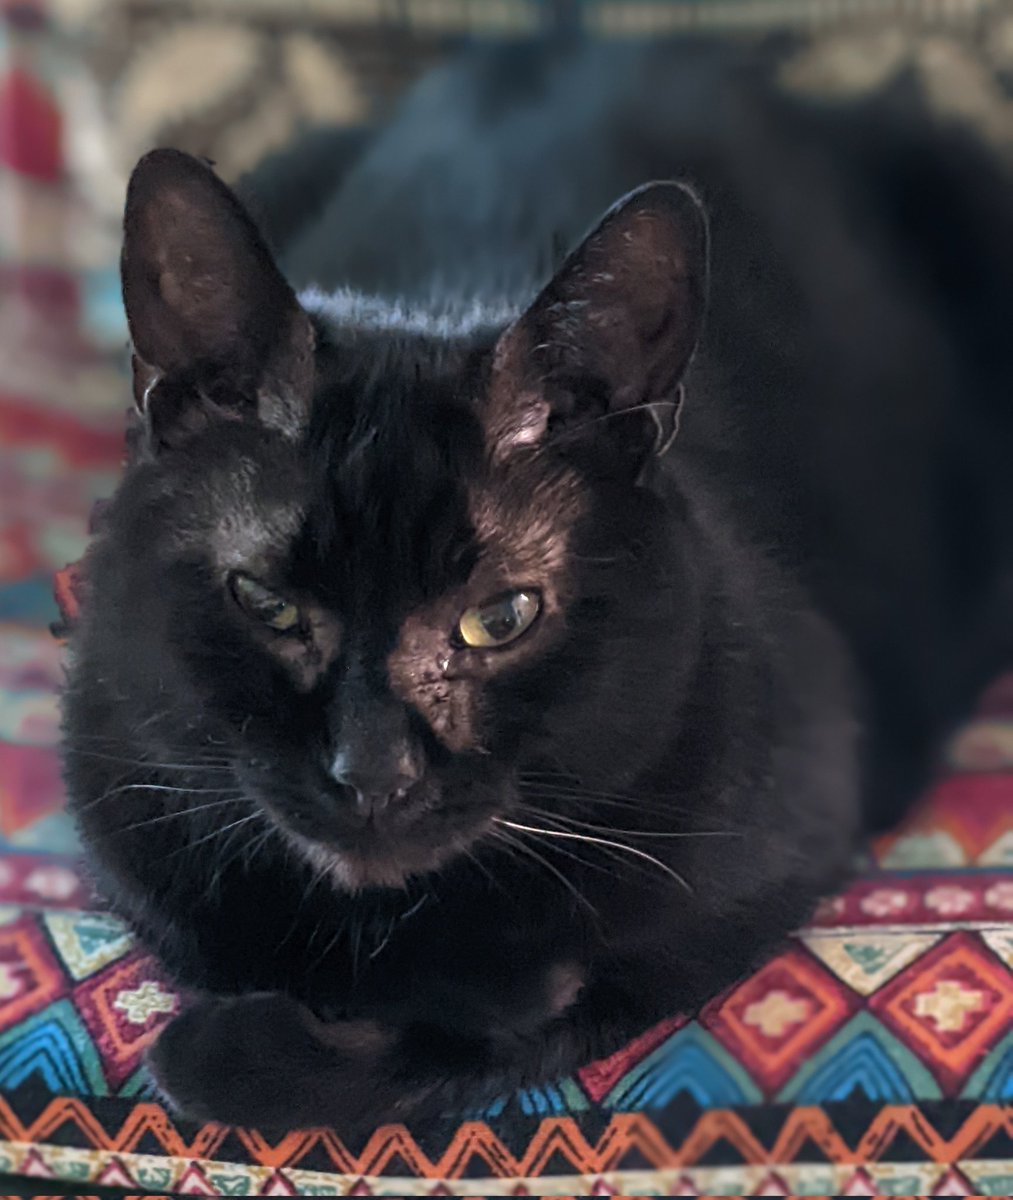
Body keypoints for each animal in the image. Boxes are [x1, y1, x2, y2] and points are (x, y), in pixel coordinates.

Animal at [63, 32, 1012, 1128]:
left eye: (500, 618)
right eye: (267, 604)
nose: (372, 774)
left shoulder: (771, 842)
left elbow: (522, 1006)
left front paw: (233, 1044)